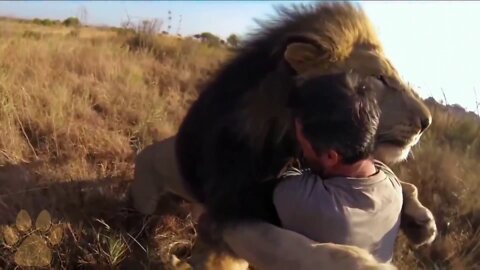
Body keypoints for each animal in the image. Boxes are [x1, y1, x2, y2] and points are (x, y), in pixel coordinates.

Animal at [130, 2, 436, 270]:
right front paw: (364, 264)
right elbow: (290, 245)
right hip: (145, 200)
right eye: (381, 78)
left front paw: (422, 221)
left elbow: (399, 180)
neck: (288, 141)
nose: (426, 123)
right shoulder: (229, 209)